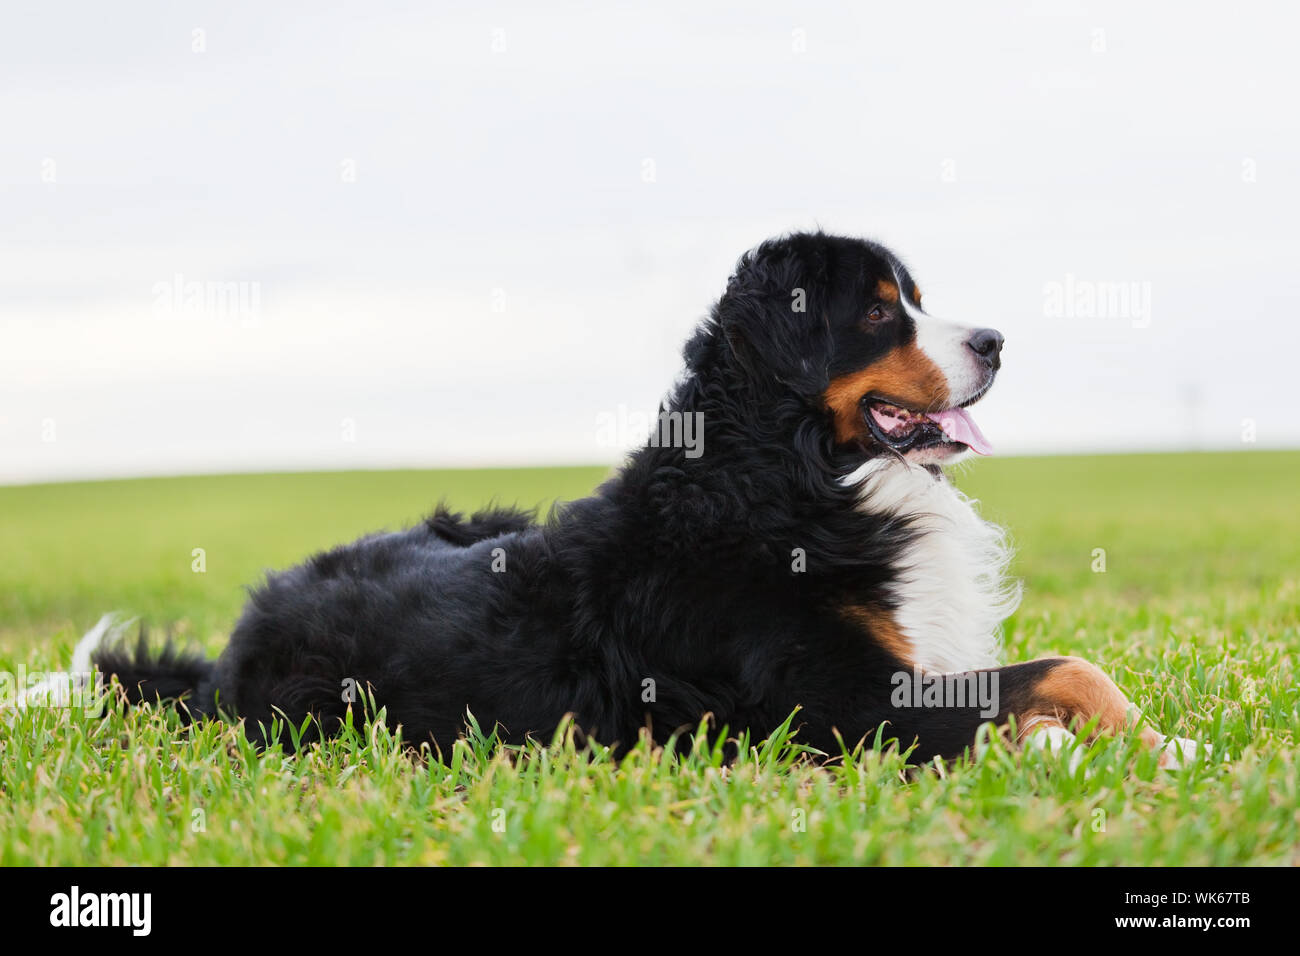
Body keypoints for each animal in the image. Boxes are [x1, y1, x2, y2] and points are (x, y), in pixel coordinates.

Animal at [89, 231, 1196, 770]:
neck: (784, 475)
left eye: (915, 299)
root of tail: (234, 646)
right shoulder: (847, 707)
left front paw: (1159, 741)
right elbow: (1045, 683)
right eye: (883, 311)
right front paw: (1099, 754)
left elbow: (1073, 673)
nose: (998, 341)